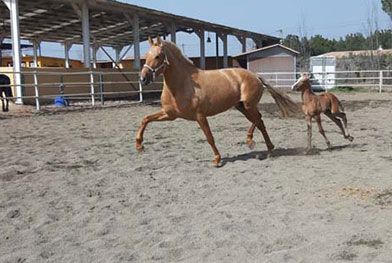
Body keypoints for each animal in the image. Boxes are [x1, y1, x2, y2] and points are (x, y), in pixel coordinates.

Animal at [135, 37, 298, 166]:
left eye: (158, 56)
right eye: (146, 56)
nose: (143, 79)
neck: (183, 84)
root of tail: (255, 76)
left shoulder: (200, 116)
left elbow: (209, 137)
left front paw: (217, 159)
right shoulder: (170, 115)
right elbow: (145, 119)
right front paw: (139, 146)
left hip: (248, 105)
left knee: (259, 119)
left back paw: (256, 144)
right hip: (242, 107)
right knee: (259, 121)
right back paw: (265, 148)